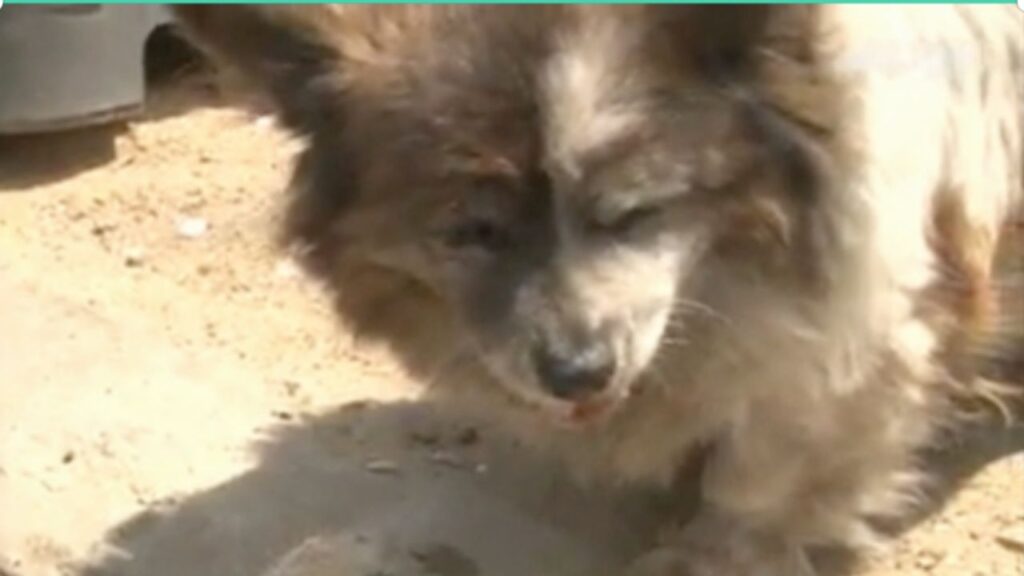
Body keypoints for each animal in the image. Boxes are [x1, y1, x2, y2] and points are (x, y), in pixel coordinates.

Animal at [172, 5, 1019, 573]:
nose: (578, 373)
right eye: (472, 233)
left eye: (634, 214)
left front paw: (707, 553)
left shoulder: (861, 345)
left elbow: (761, 478)